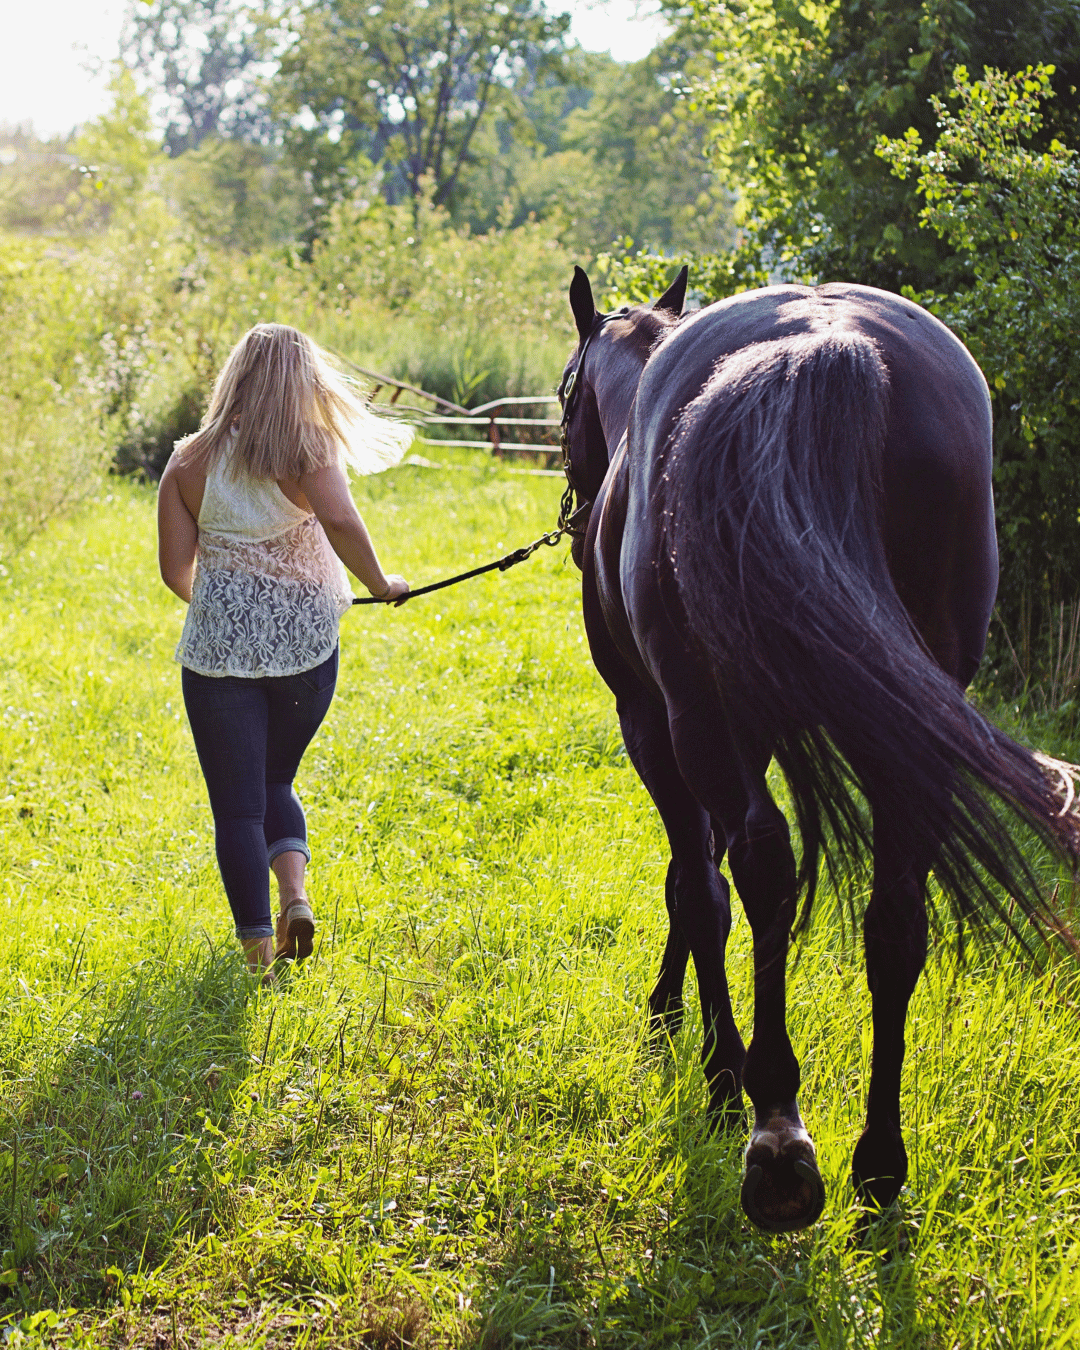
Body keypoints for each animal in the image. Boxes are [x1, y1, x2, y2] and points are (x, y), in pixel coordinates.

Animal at [558, 266, 1079, 1232]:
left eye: (566, 392)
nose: (573, 515)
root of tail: (823, 343)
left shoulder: (653, 723)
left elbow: (696, 886)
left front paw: (707, 1061)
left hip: (700, 720)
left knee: (760, 870)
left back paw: (776, 1137)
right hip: (907, 728)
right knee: (896, 919)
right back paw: (879, 1164)